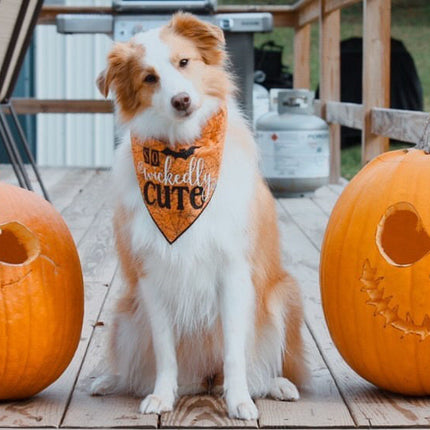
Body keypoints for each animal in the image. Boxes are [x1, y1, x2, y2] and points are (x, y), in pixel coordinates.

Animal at [90, 12, 308, 420]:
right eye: (149, 78)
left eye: (184, 62)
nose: (182, 100)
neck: (181, 150)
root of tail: (206, 379)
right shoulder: (152, 277)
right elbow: (164, 352)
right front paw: (162, 396)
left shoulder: (234, 271)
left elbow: (236, 352)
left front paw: (239, 401)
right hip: (126, 316)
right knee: (134, 369)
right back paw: (109, 380)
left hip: (282, 297)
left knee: (262, 368)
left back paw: (278, 385)